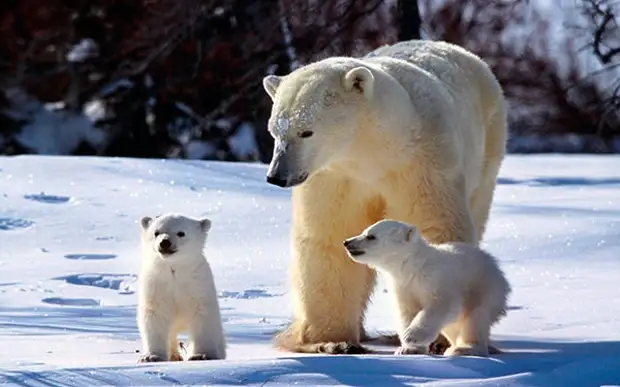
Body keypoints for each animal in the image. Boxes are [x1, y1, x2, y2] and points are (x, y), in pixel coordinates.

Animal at [262, 39, 508, 354]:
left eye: (306, 131)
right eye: (274, 131)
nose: (277, 176)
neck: (374, 151)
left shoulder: (421, 163)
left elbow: (434, 224)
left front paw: (435, 338)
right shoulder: (334, 177)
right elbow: (328, 236)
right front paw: (332, 341)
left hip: (488, 146)